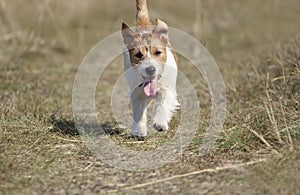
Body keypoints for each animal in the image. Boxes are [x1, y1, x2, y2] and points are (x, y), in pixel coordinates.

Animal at [121, 0, 178, 137]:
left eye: (158, 52)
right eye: (138, 55)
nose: (150, 69)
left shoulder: (167, 89)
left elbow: (163, 104)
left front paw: (160, 123)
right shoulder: (137, 93)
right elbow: (139, 111)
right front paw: (138, 131)